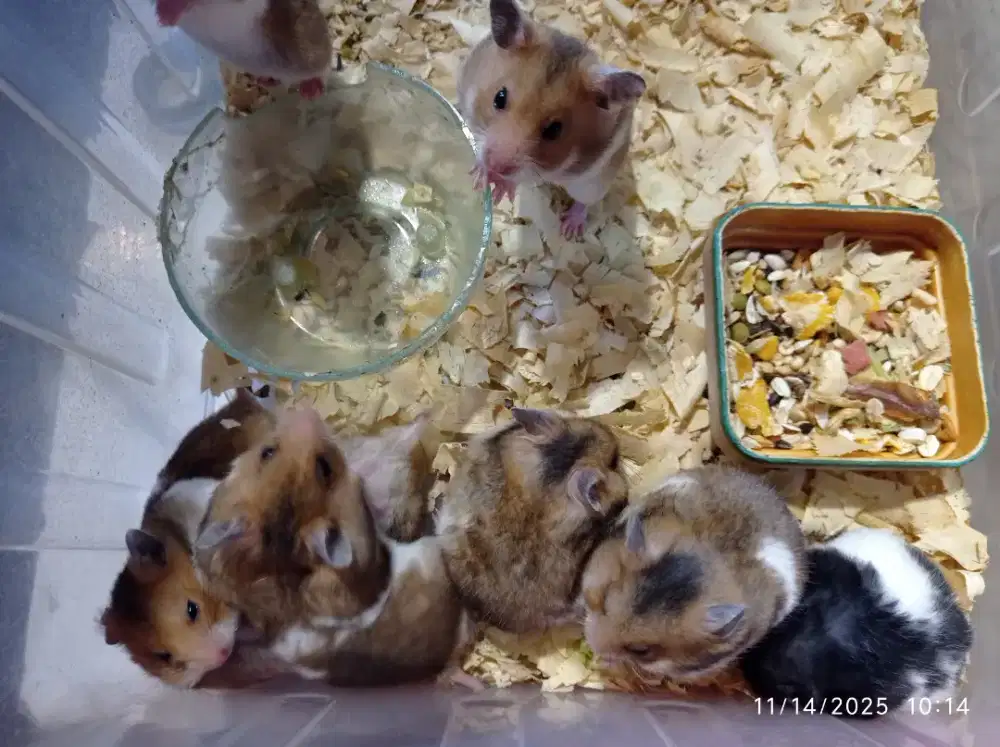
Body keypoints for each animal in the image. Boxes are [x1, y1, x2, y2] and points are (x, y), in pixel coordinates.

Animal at [156, 0, 333, 99]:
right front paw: (160, 18)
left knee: (324, 66)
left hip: (310, 52)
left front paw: (162, 17)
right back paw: (266, 80)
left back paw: (310, 92)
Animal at [457, 0, 645, 239]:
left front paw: (499, 190)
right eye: (499, 98)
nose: (497, 167)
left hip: (593, 184)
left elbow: (522, 176)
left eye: (555, 130)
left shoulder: (551, 170)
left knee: (584, 203)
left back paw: (570, 229)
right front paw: (480, 176)